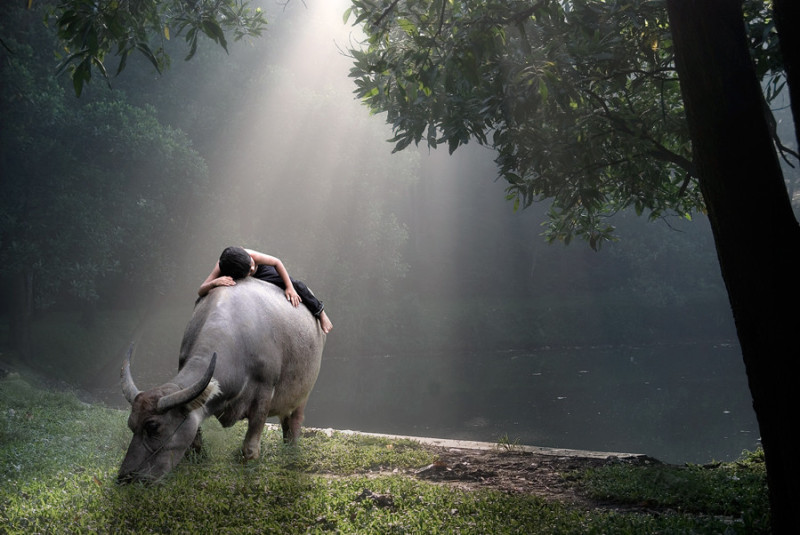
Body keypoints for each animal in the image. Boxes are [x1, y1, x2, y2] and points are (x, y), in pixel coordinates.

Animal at [117, 278, 324, 484]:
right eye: (131, 424)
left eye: (153, 427)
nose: (125, 476)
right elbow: (195, 442)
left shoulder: (265, 391)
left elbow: (250, 448)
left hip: (301, 396)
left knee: (294, 423)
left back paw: (291, 454)